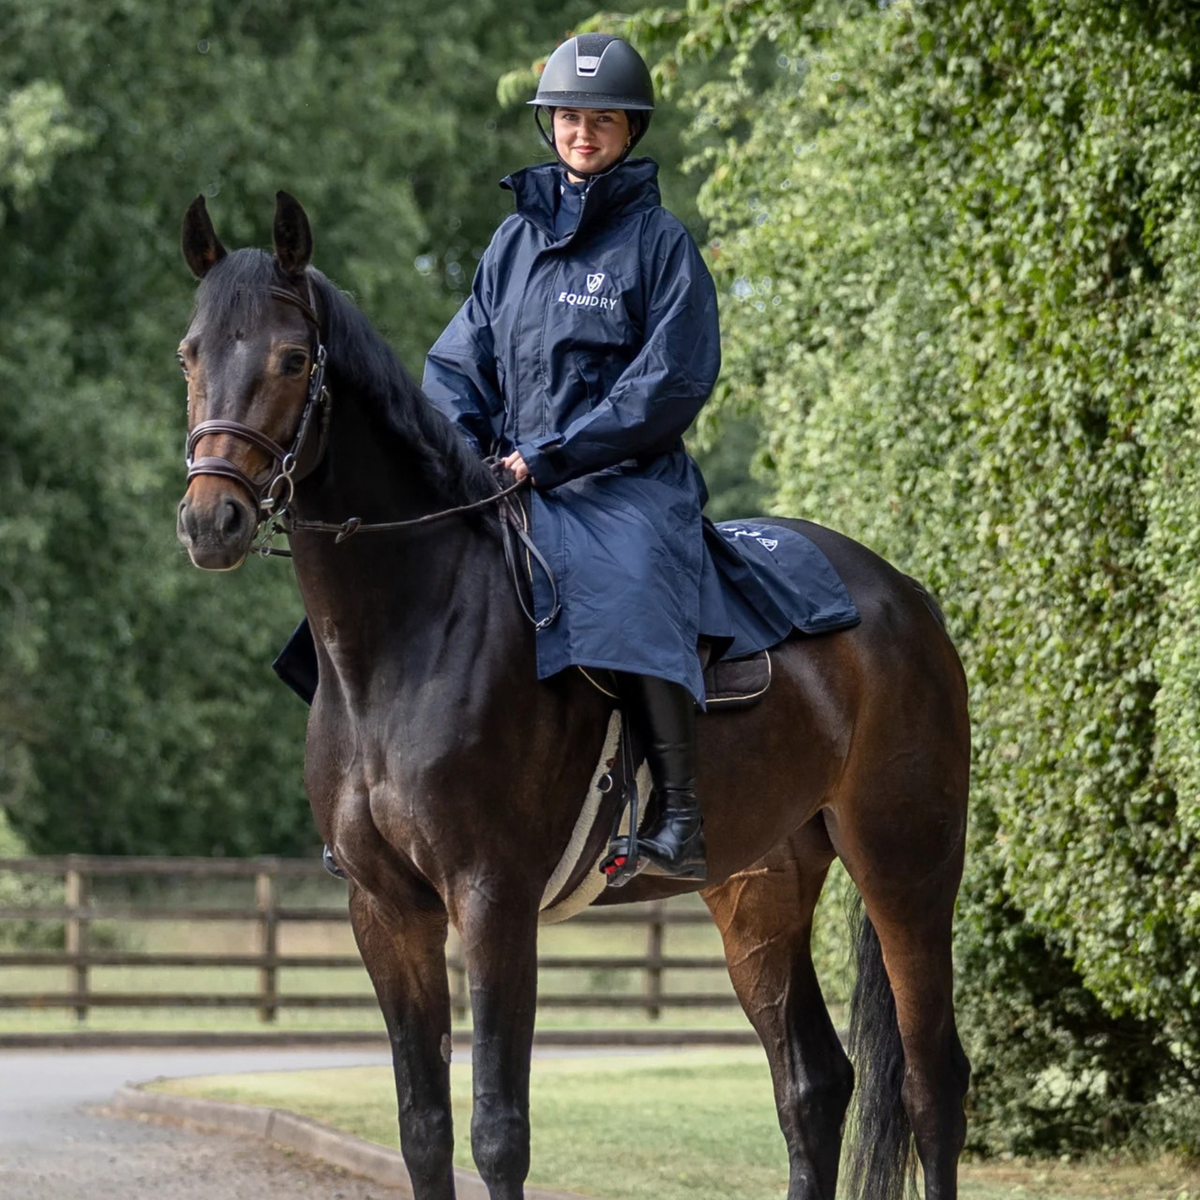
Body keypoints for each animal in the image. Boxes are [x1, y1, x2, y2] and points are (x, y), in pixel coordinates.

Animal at [175, 191, 971, 1200]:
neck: (406, 639)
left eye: (289, 359)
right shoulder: (386, 912)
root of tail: (904, 596)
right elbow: (425, 1128)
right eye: (190, 354)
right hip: (758, 891)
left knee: (931, 1083)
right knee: (813, 1085)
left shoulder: (493, 901)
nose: (212, 520)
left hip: (907, 867)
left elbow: (496, 1133)